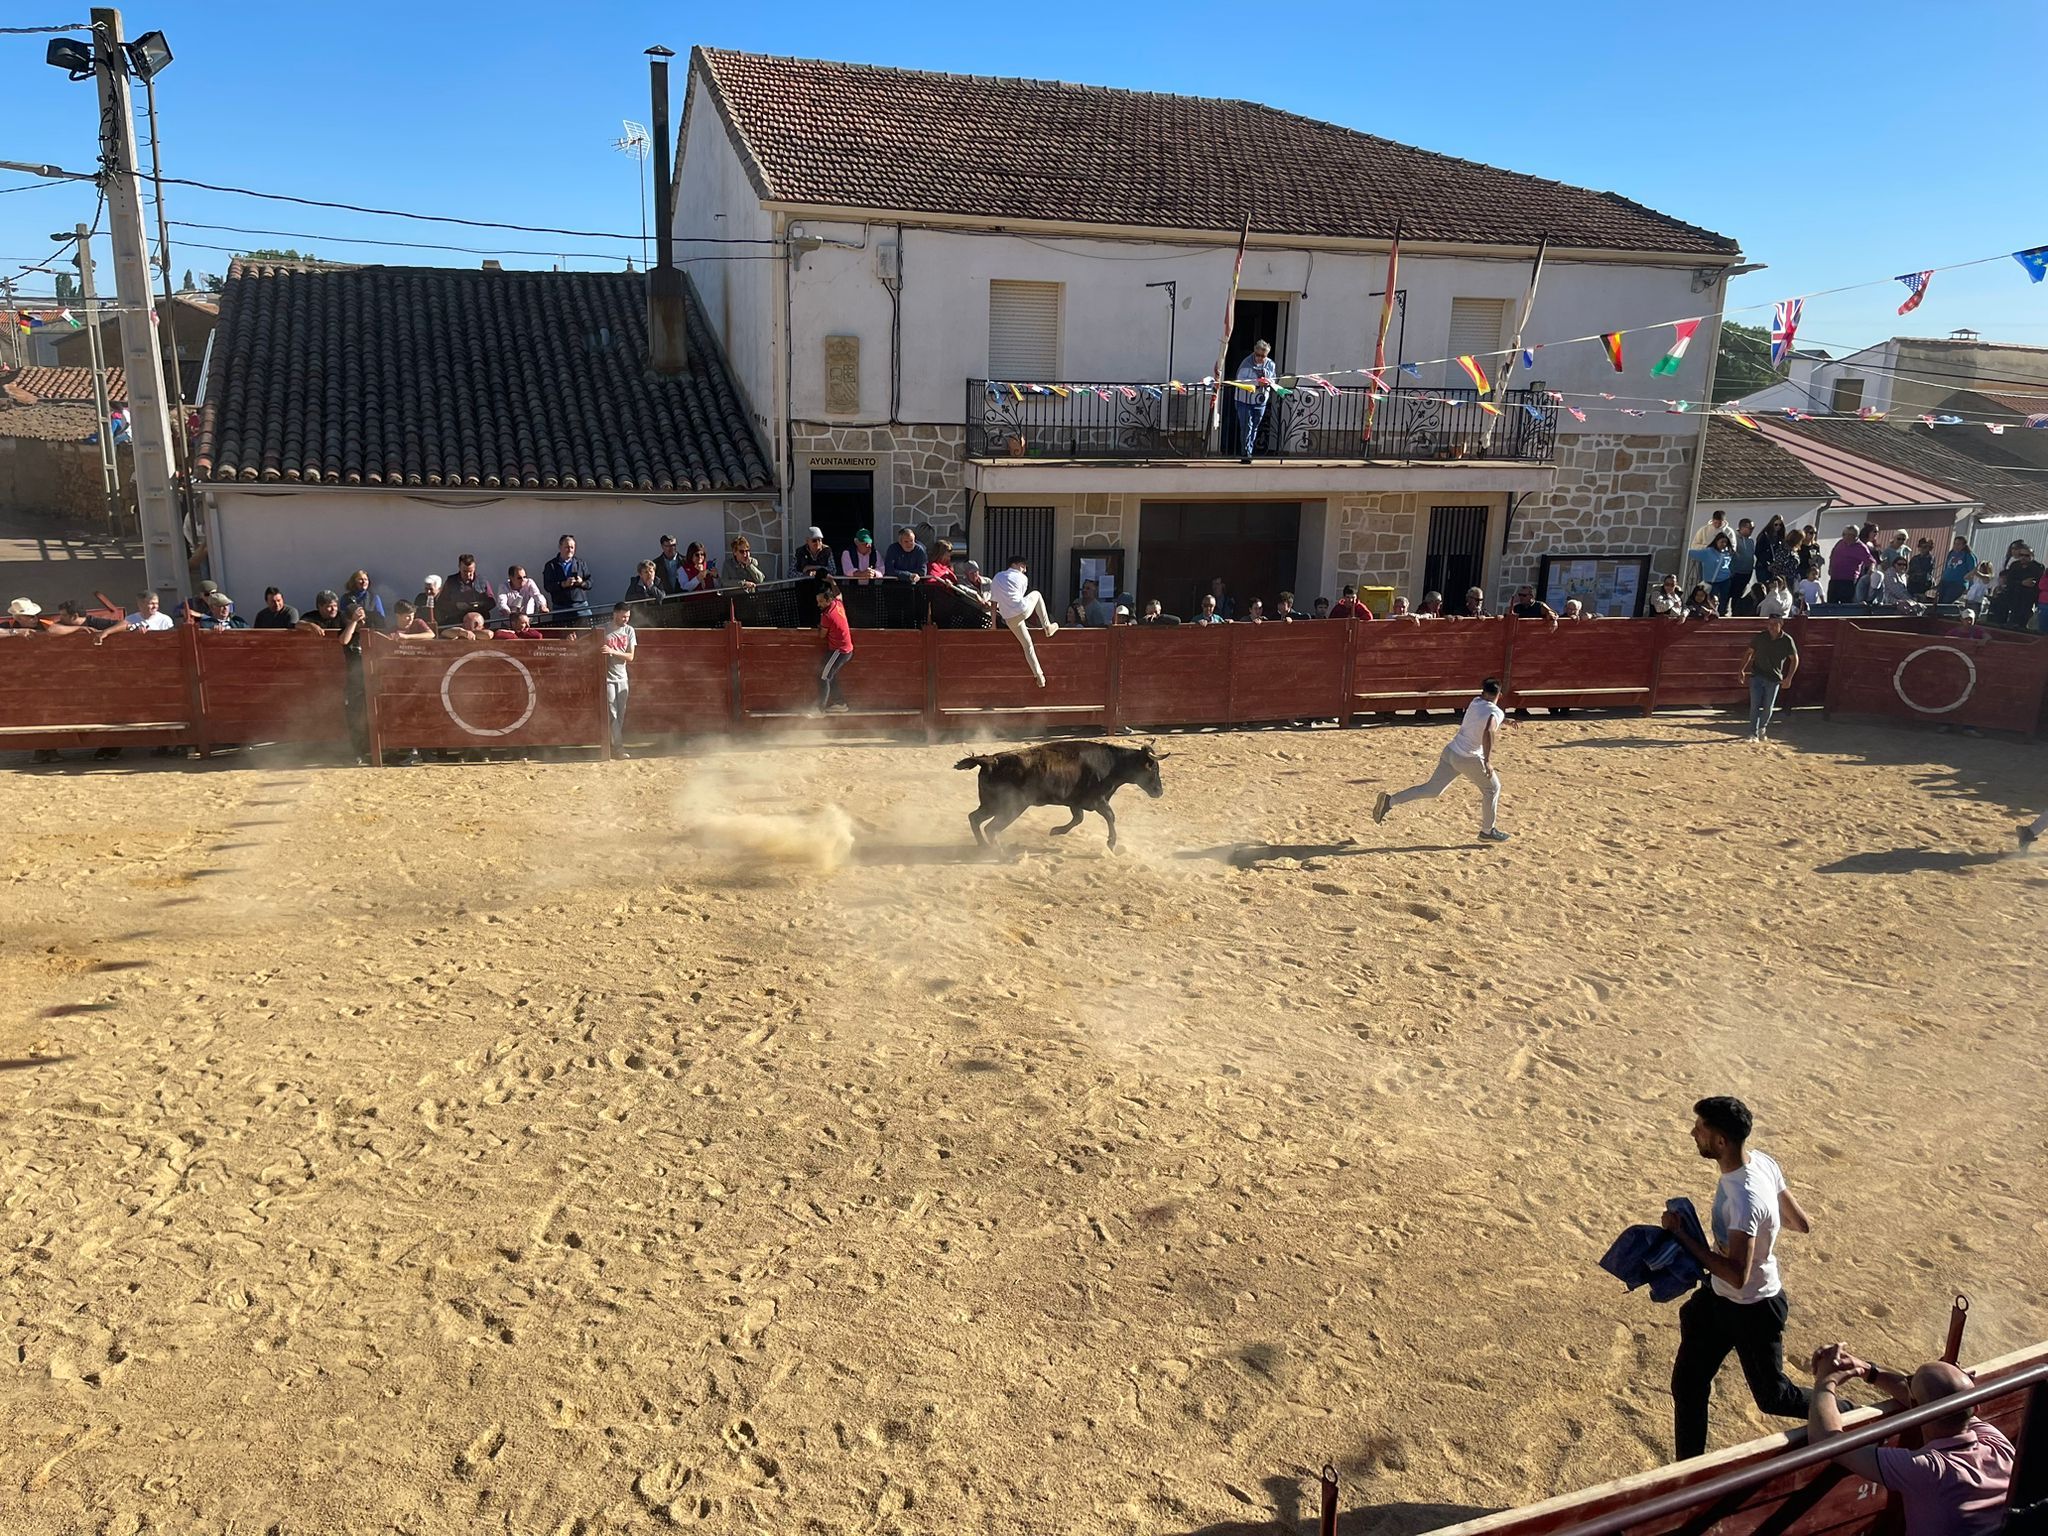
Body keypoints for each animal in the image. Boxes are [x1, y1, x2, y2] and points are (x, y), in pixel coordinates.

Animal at [946, 741, 1163, 856]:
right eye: (1153, 769)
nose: (1159, 792)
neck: (1111, 764)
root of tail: (991, 760)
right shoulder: (1098, 800)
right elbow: (1110, 816)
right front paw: (1111, 844)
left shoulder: (1076, 803)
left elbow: (1078, 818)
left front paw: (1056, 831)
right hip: (1011, 807)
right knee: (991, 828)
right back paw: (1001, 855)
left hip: (992, 804)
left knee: (975, 818)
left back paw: (983, 847)